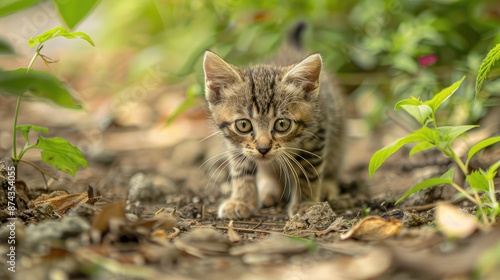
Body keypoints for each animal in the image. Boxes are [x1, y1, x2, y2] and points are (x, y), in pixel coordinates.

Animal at [202, 33, 344, 219]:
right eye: (243, 125)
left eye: (282, 124)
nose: (263, 149)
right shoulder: (235, 145)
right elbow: (241, 170)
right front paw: (242, 201)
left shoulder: (317, 135)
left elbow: (308, 173)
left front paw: (306, 205)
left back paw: (327, 186)